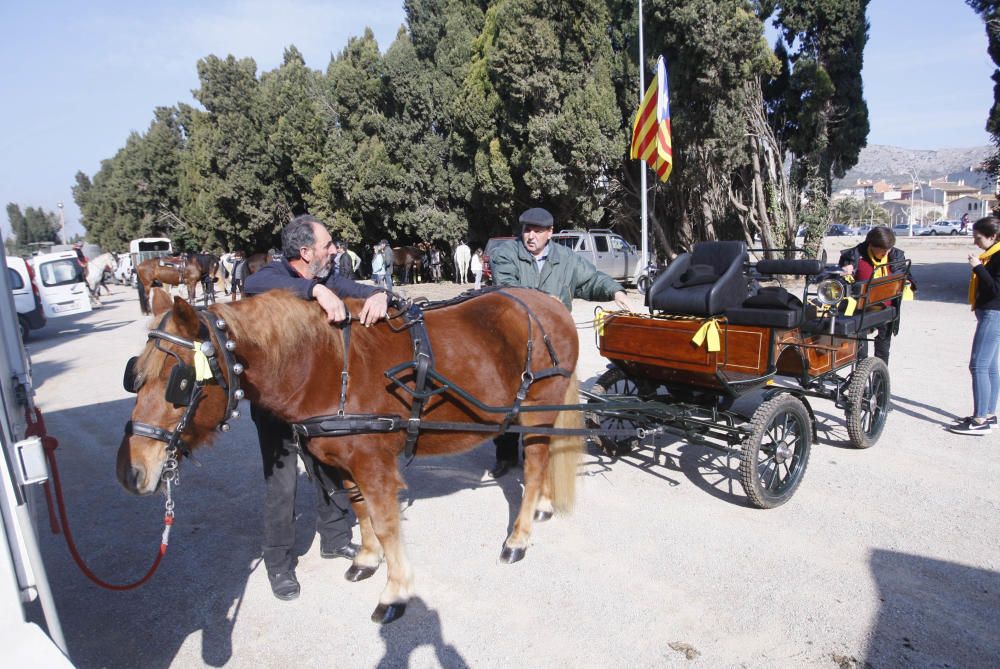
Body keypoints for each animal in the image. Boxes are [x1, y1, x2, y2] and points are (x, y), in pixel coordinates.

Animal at [118, 290, 584, 624]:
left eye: (178, 381)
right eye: (136, 376)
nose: (131, 471)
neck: (323, 365)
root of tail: (550, 303)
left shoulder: (374, 465)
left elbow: (386, 521)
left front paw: (395, 592)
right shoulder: (343, 461)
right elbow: (359, 508)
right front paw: (366, 558)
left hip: (537, 411)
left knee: (536, 465)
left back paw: (518, 538)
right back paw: (541, 507)